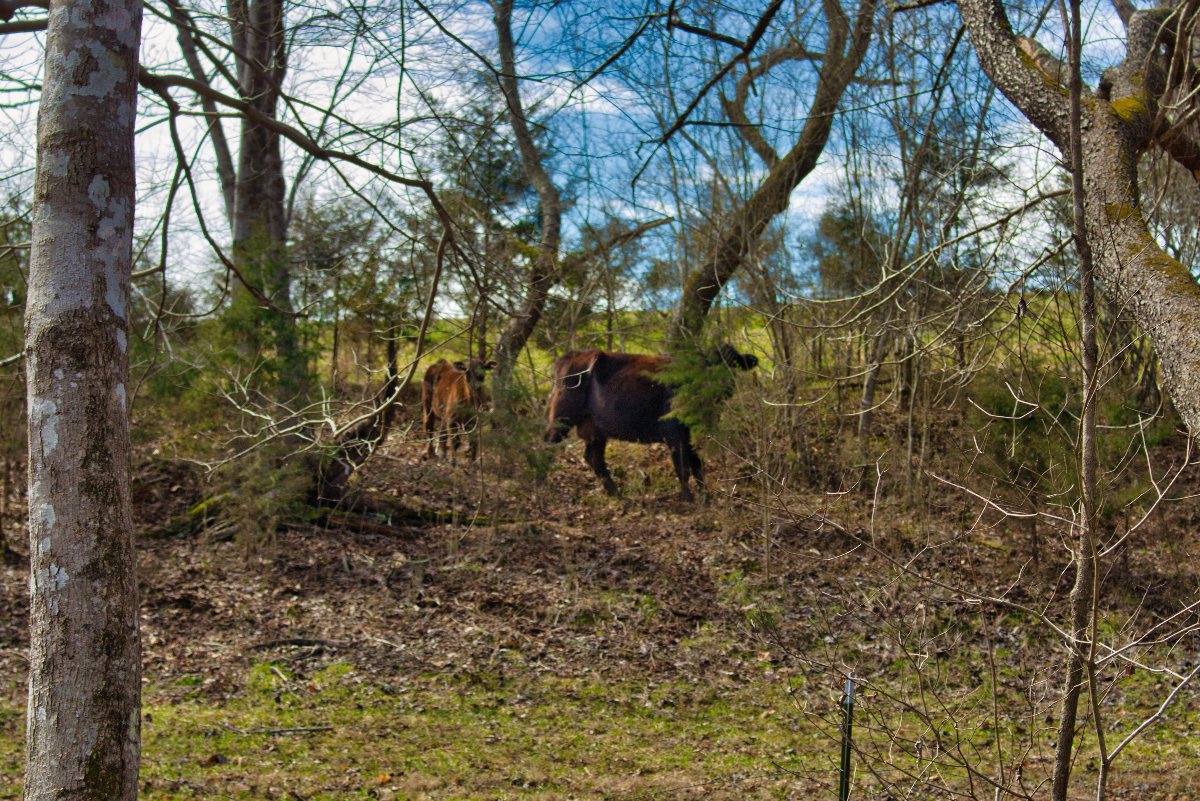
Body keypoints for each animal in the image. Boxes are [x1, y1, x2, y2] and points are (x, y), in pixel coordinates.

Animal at [547, 345, 758, 501]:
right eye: (709, 366)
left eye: (734, 364)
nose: (724, 386)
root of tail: (575, 354)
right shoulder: (674, 432)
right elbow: (683, 467)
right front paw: (688, 498)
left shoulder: (688, 433)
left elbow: (698, 465)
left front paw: (706, 497)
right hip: (561, 418)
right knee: (548, 444)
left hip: (595, 429)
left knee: (594, 458)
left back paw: (616, 494)